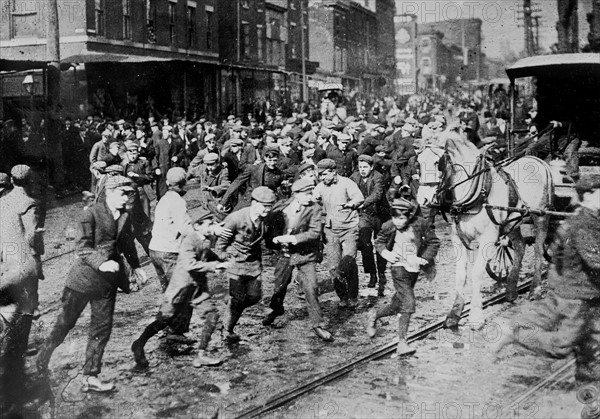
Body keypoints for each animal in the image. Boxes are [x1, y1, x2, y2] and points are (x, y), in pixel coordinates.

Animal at [418, 133, 552, 330]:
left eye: (438, 162)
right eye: (418, 161)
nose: (423, 199)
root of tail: (538, 161)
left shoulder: (488, 239)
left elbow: (476, 273)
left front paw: (475, 315)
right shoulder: (458, 239)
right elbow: (461, 275)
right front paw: (454, 314)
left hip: (541, 217)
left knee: (538, 250)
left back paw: (535, 288)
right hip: (512, 223)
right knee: (520, 247)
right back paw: (511, 290)